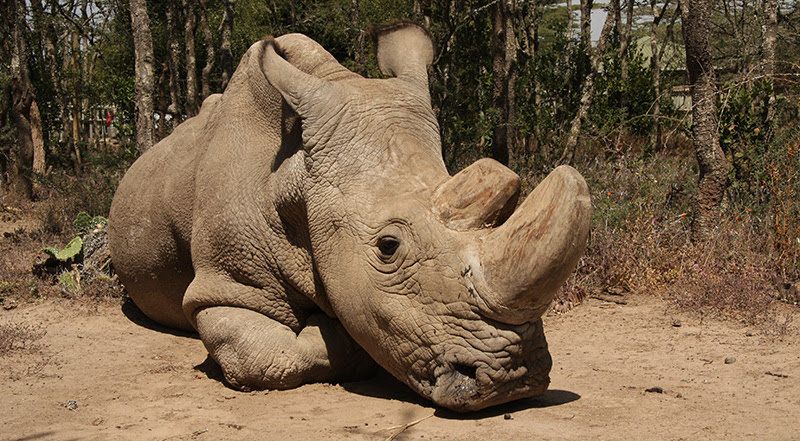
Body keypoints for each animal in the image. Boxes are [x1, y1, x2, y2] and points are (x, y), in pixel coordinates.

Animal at [108, 23, 591, 412]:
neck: (296, 181)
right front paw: (329, 329)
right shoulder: (225, 286)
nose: (515, 380)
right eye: (388, 247)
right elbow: (264, 359)